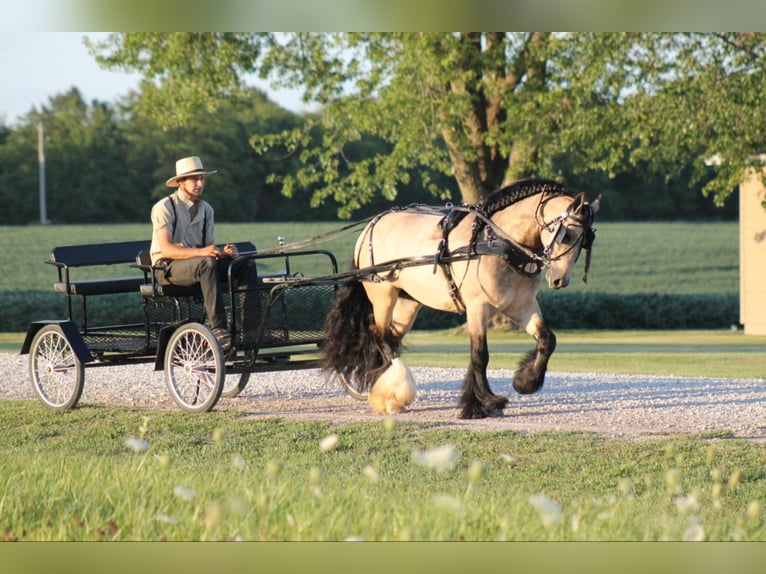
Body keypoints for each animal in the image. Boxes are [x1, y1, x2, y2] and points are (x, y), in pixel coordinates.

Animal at [320, 178, 604, 420]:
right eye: (567, 235)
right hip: (383, 296)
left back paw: (384, 388)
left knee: (388, 338)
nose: (559, 280)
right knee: (380, 336)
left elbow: (547, 340)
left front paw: (525, 382)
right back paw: (392, 393)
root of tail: (371, 226)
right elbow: (480, 355)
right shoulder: (478, 307)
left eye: (587, 241)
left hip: (408, 302)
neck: (496, 243)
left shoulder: (521, 306)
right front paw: (483, 404)